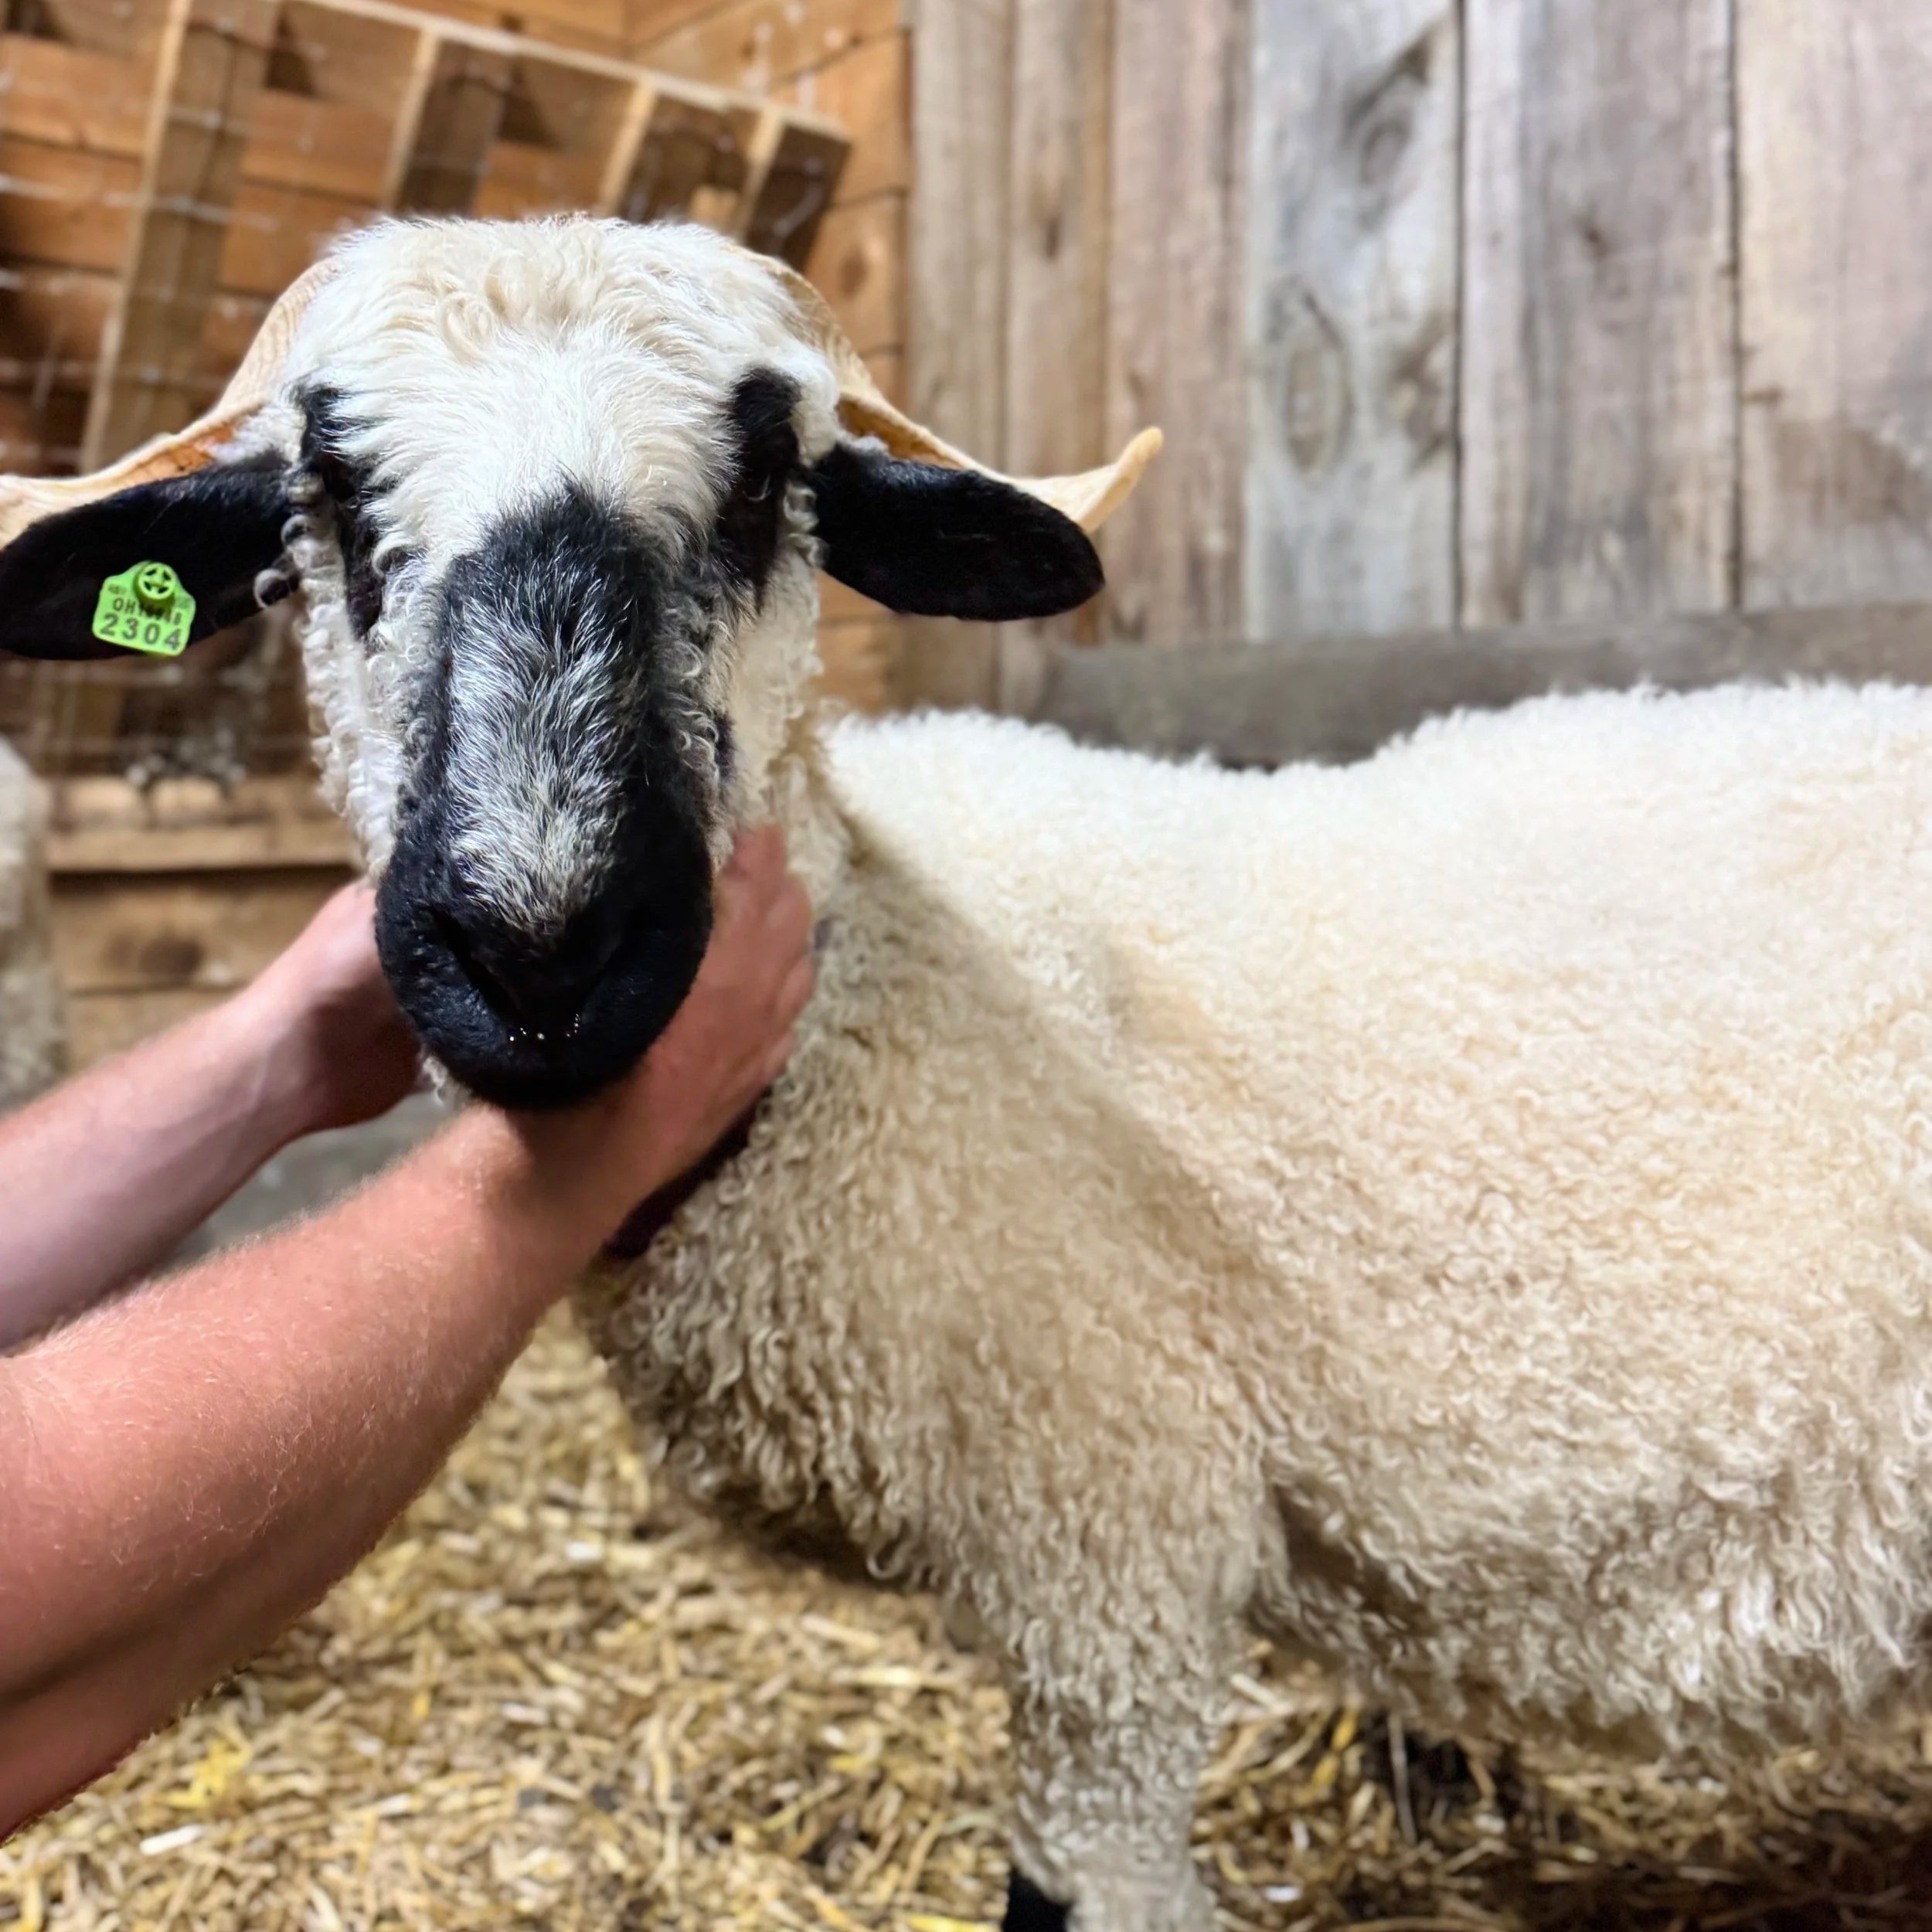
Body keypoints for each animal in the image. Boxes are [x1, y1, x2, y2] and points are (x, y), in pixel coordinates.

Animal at [6, 215, 1932, 1932]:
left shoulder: (1120, 1540)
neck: (897, 1008)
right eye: (329, 500)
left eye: (763, 488)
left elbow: (1075, 1885)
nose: (541, 945)